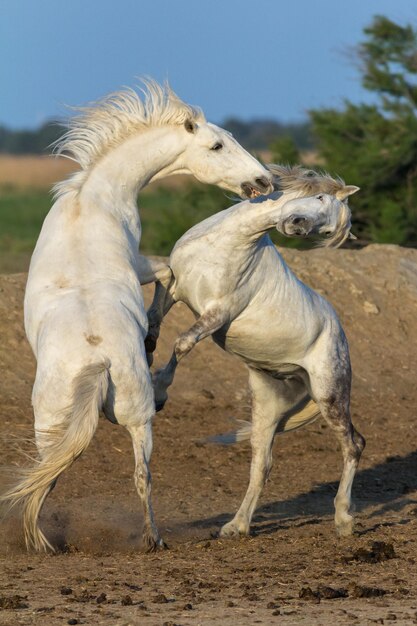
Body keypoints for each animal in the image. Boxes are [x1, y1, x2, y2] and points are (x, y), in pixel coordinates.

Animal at [0, 79, 272, 552]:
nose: (262, 180)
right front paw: (150, 337)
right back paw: (147, 539)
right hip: (133, 419)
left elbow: (167, 276)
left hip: (66, 428)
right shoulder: (143, 263)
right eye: (217, 145)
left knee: (65, 478)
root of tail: (97, 362)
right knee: (130, 475)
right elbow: (167, 273)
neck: (91, 200)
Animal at [148, 166, 362, 536]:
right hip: (267, 403)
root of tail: (337, 330)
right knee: (262, 464)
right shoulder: (174, 288)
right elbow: (153, 325)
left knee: (352, 446)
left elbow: (182, 344)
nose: (298, 225)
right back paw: (236, 526)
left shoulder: (217, 314)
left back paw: (343, 519)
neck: (228, 242)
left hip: (330, 395)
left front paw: (159, 393)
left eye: (326, 230)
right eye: (319, 197)